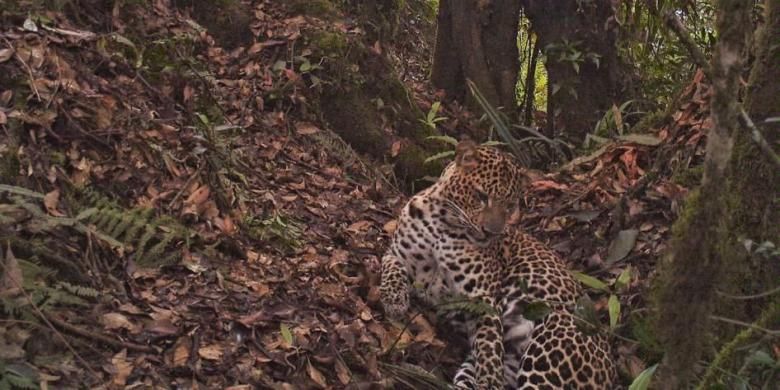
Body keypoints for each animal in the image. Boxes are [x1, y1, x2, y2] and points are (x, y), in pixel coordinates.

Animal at [380, 141, 620, 390]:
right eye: (481, 196)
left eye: (510, 205)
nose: (491, 232)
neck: (443, 223)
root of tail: (611, 374)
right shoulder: (395, 254)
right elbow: (390, 269)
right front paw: (394, 301)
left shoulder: (482, 300)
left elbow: (489, 348)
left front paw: (489, 380)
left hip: (551, 342)